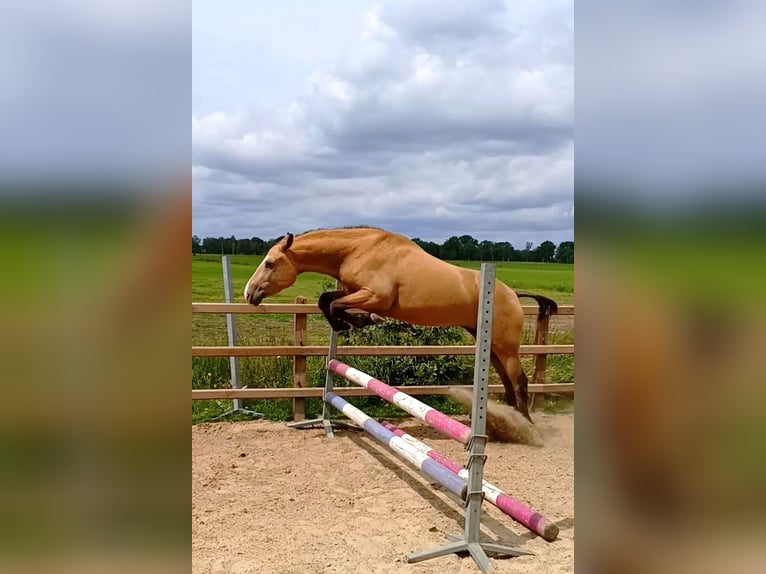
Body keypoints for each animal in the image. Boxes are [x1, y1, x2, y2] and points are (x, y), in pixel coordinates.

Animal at [243, 228, 557, 422]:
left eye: (270, 263)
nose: (248, 294)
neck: (356, 249)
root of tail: (513, 294)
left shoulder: (374, 296)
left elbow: (333, 305)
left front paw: (358, 321)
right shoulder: (352, 291)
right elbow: (326, 300)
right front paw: (356, 321)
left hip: (506, 348)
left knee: (519, 382)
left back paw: (527, 426)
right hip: (491, 347)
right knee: (507, 382)